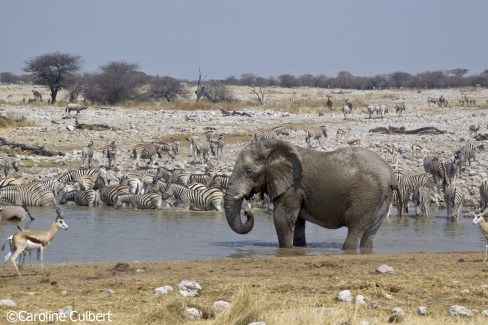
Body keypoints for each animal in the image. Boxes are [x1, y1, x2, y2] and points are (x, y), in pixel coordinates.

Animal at [223, 138, 398, 252]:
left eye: (249, 172)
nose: (247, 212)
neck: (273, 147)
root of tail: (390, 173)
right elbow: (298, 222)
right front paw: (298, 248)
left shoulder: (293, 186)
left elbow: (282, 218)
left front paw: (286, 250)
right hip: (381, 197)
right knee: (371, 232)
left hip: (367, 196)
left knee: (355, 227)